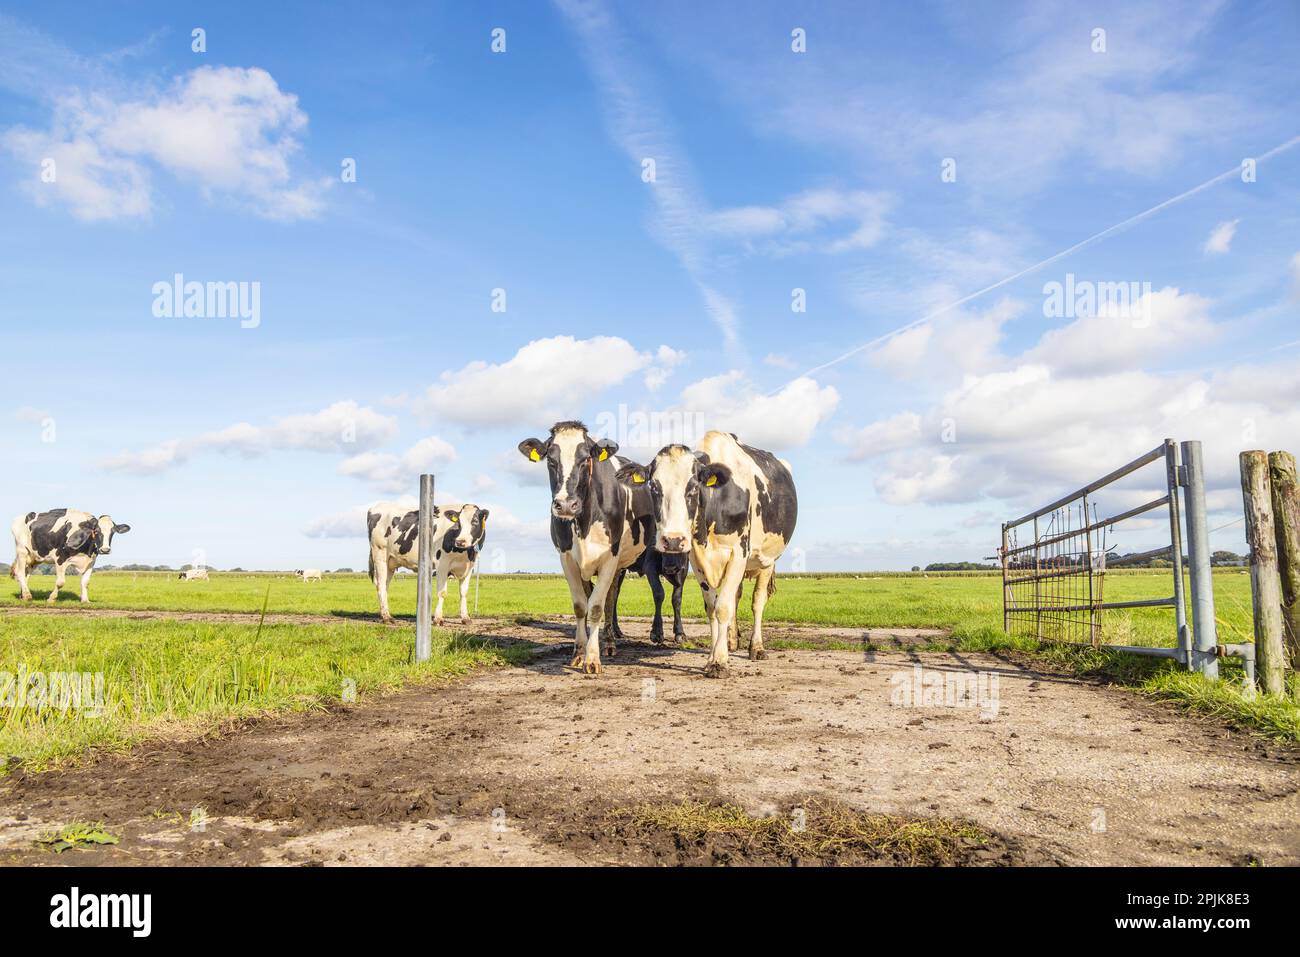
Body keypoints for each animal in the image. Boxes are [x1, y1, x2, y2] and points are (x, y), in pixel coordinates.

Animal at [517, 421, 654, 674]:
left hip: (619, 564)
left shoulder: (610, 557)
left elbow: (598, 607)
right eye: (551, 460)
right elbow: (581, 606)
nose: (565, 505)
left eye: (585, 459)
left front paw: (592, 658)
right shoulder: (567, 558)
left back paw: (609, 643)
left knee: (610, 598)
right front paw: (579, 653)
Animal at [615, 431, 797, 677]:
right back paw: (731, 641)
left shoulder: (739, 553)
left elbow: (723, 607)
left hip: (767, 559)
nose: (673, 540)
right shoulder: (696, 558)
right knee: (737, 596)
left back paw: (756, 647)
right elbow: (712, 607)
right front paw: (715, 653)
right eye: (654, 488)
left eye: (693, 488)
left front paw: (719, 662)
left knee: (758, 601)